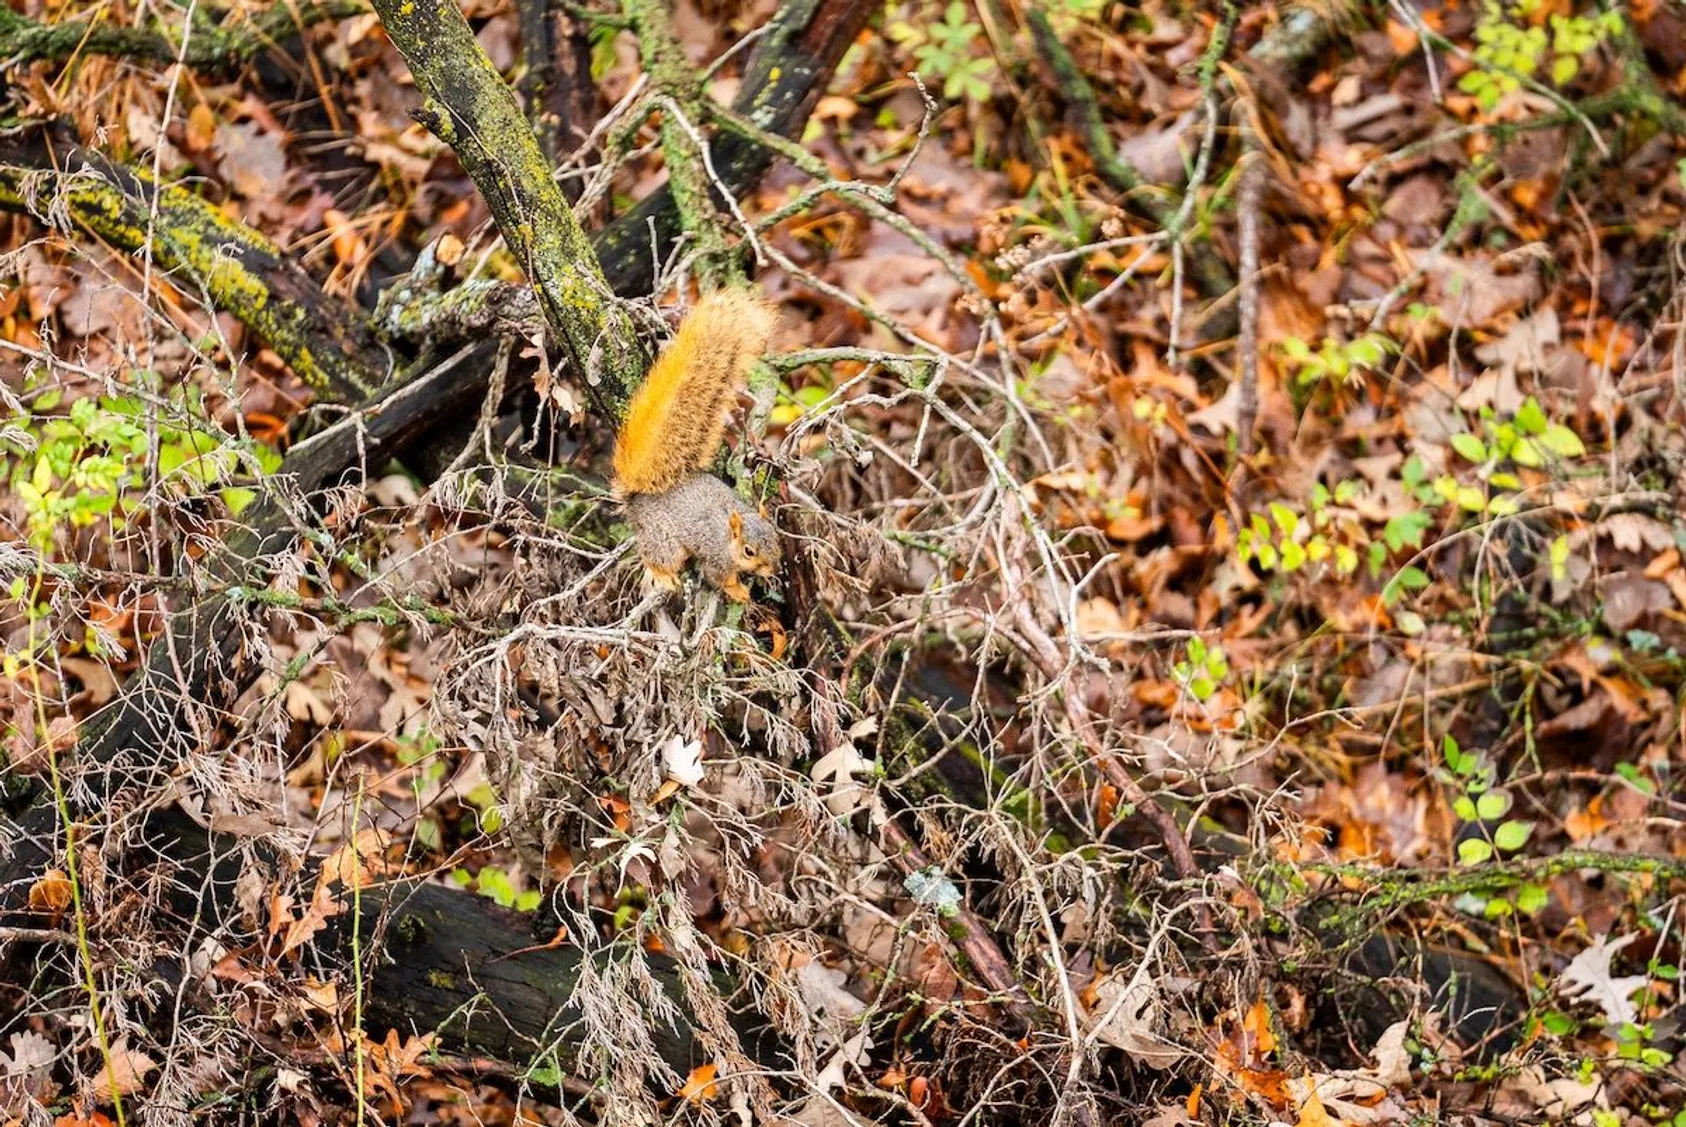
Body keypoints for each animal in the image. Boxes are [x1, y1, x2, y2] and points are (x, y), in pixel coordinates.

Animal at [611, 289, 782, 602]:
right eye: (749, 551)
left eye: (775, 536)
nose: (772, 569)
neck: (727, 538)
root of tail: (637, 498)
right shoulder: (716, 558)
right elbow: (721, 578)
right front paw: (739, 591)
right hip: (664, 538)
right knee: (654, 556)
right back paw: (663, 576)